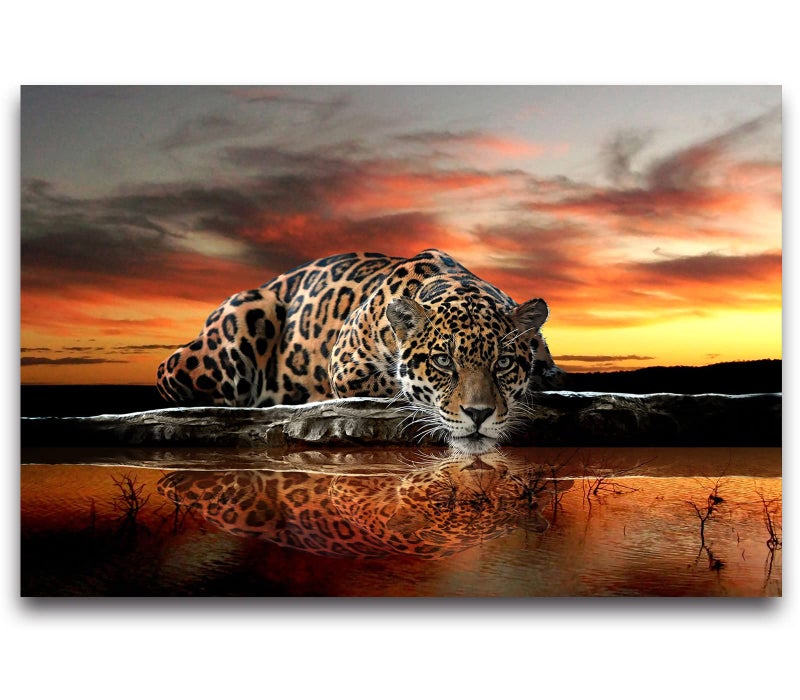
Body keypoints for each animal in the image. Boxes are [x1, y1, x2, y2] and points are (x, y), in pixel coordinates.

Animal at [157, 249, 564, 454]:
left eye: (503, 363)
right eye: (443, 362)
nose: (479, 414)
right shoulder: (346, 366)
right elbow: (398, 385)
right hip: (244, 315)